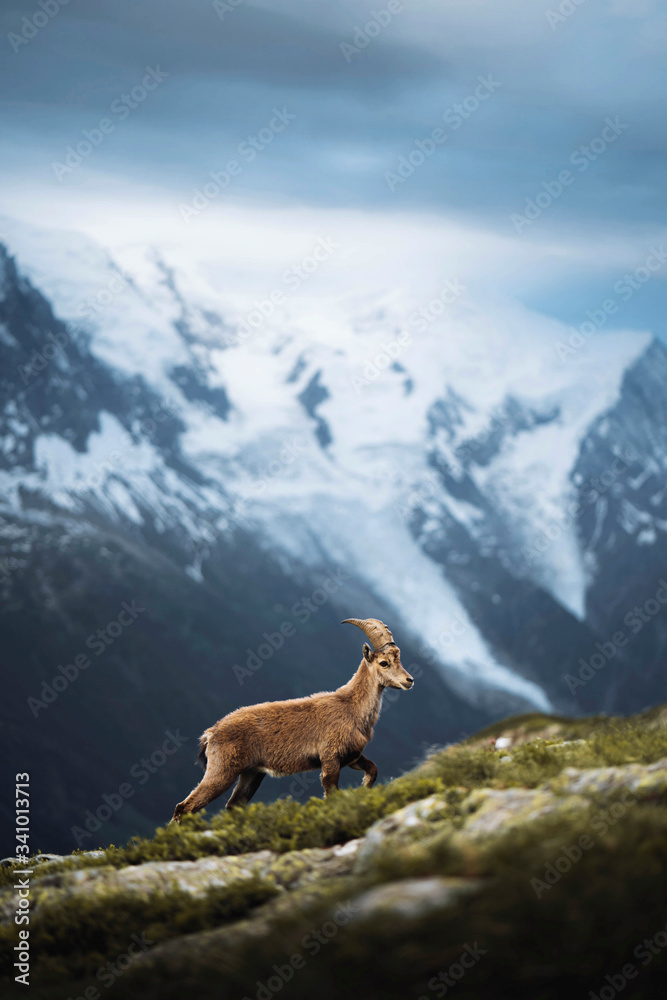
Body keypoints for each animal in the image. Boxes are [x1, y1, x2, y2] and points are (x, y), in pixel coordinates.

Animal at [172, 616, 412, 820]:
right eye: (383, 663)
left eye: (398, 658)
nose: (409, 680)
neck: (352, 707)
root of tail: (210, 733)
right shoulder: (330, 759)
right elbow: (331, 793)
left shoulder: (352, 756)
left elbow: (373, 769)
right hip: (222, 770)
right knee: (185, 807)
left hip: (252, 773)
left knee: (233, 805)